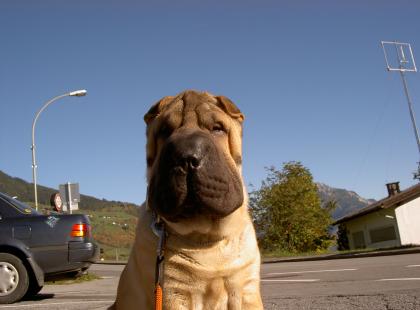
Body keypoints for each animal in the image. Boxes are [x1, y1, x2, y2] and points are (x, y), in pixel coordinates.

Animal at [112, 89, 262, 310]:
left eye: (217, 128)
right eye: (164, 131)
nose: (187, 156)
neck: (206, 239)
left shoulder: (246, 289)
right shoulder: (173, 293)